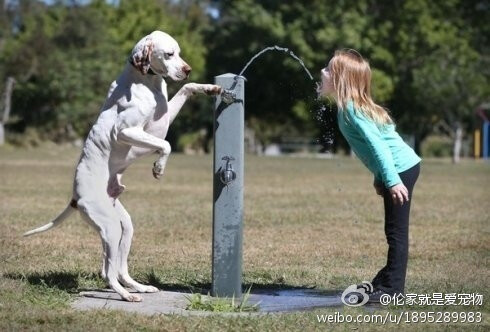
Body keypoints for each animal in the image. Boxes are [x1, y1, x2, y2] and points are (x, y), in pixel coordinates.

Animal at [23, 31, 222, 304]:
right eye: (169, 54)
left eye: (179, 53)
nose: (188, 69)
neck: (146, 81)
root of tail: (75, 197)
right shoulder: (128, 131)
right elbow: (166, 144)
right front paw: (158, 167)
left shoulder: (163, 120)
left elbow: (186, 89)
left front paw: (209, 88)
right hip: (110, 228)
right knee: (108, 272)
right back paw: (126, 295)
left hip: (124, 227)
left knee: (119, 268)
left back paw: (138, 287)